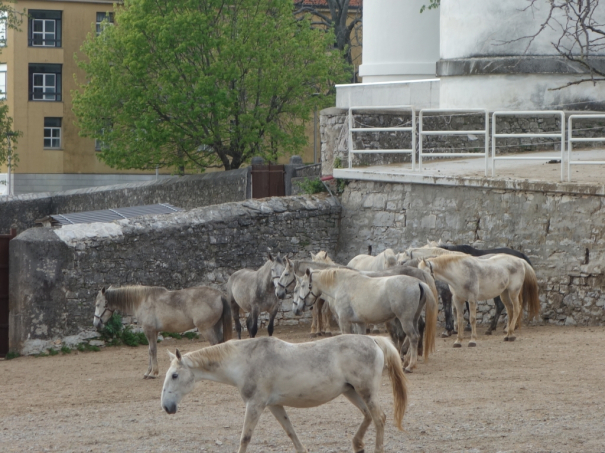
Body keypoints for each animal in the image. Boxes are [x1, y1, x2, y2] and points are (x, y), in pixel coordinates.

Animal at [93, 286, 232, 378]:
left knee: (215, 345)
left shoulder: (149, 330)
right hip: (215, 327)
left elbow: (152, 350)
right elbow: (150, 351)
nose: (96, 324)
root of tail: (220, 295)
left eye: (98, 304)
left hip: (206, 328)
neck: (141, 301)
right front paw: (148, 372)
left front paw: (153, 373)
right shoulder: (154, 332)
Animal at [160, 334, 406, 450]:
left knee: (379, 418)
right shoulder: (274, 406)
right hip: (352, 392)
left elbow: (245, 438)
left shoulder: (255, 405)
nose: (166, 407)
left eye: (174, 375)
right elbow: (291, 433)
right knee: (368, 416)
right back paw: (357, 445)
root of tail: (374, 340)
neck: (245, 360)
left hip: (366, 391)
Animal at [292, 268, 434, 370]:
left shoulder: (344, 322)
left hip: (405, 320)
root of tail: (418, 282)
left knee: (413, 337)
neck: (341, 285)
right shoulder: (359, 323)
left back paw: (410, 365)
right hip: (413, 319)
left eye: (302, 285)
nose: (297, 309)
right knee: (415, 336)